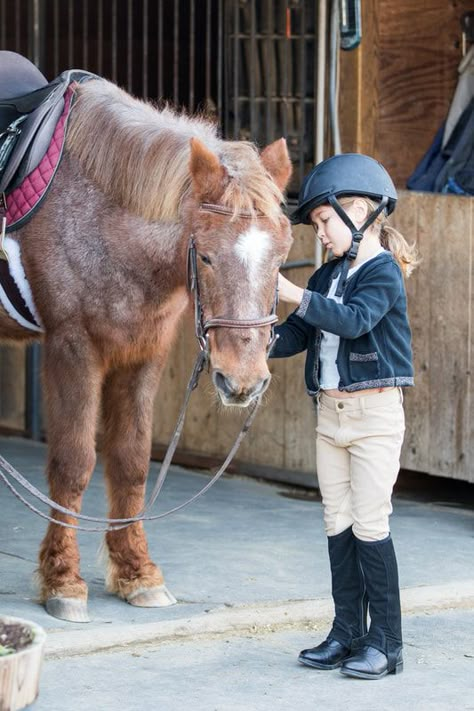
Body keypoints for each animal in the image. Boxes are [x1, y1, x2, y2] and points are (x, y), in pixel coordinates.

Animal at [0, 73, 294, 624]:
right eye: (205, 254)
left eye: (282, 254)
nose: (242, 381)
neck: (103, 215)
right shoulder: (73, 348)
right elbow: (73, 464)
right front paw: (62, 581)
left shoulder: (143, 355)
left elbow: (131, 461)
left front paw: (137, 573)